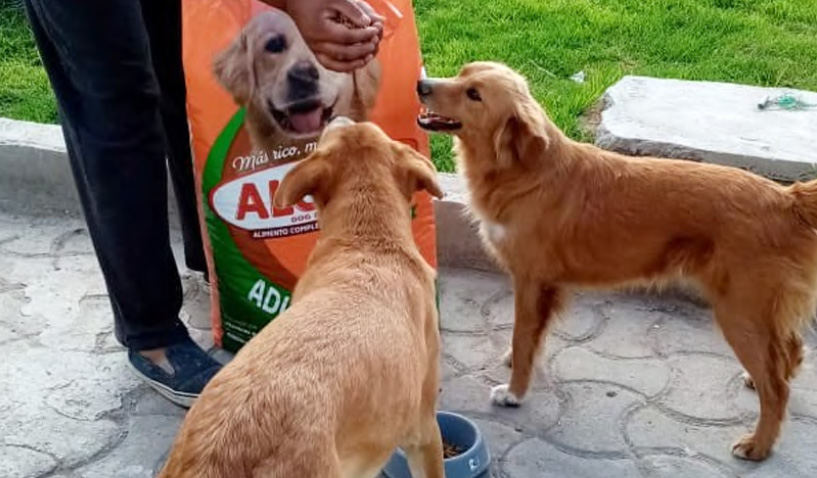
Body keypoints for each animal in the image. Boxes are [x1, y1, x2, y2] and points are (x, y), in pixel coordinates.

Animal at [416, 61, 817, 461]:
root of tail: (785, 198)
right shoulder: (543, 287)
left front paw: (515, 392)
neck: (526, 170)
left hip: (739, 313)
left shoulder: (531, 280)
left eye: (474, 94)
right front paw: (517, 361)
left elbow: (523, 335)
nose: (421, 85)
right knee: (791, 351)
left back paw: (758, 444)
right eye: (462, 72)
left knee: (777, 387)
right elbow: (530, 338)